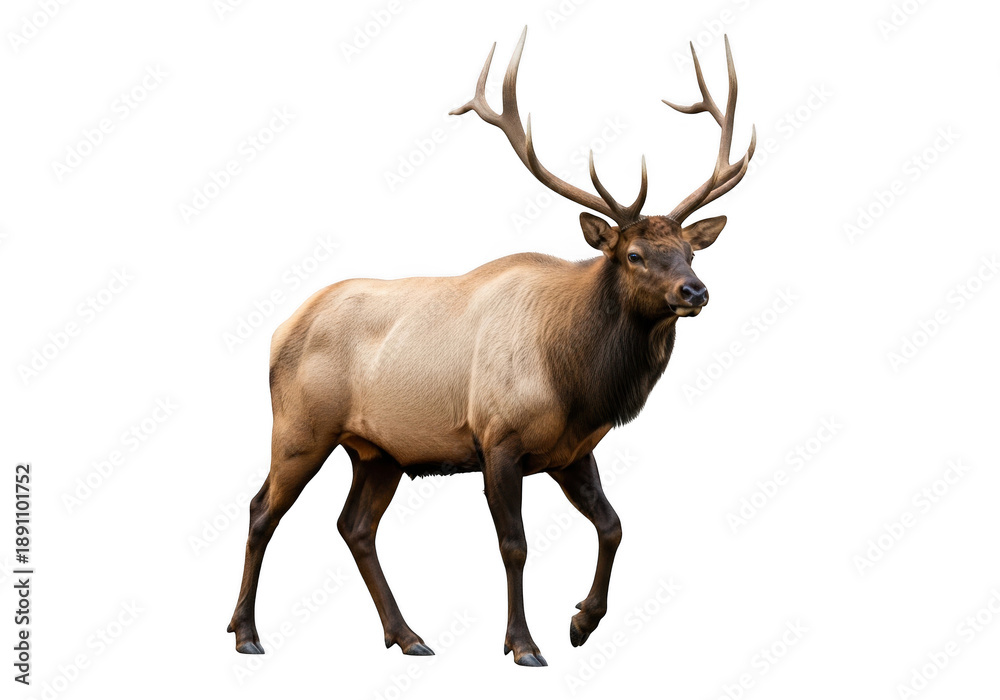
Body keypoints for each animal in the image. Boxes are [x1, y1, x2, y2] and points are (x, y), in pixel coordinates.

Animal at [228, 27, 755, 667]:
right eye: (633, 255)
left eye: (690, 251)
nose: (695, 290)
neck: (578, 382)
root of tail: (280, 328)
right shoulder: (498, 439)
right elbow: (515, 545)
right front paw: (523, 643)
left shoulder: (572, 451)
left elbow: (613, 525)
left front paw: (582, 622)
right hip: (302, 428)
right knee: (262, 510)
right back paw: (246, 632)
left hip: (379, 451)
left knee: (354, 526)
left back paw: (408, 635)